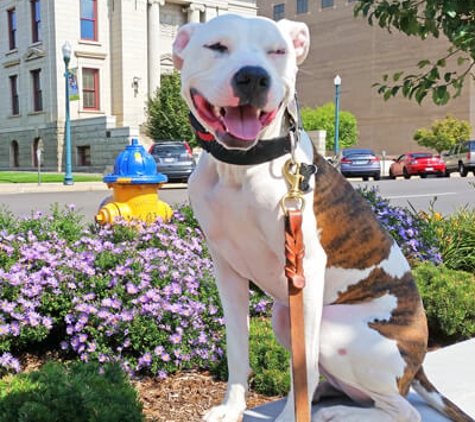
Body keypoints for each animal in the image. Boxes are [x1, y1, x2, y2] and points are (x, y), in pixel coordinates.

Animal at [173, 13, 474, 422]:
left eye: (278, 51)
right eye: (217, 46)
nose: (253, 77)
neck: (240, 166)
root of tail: (418, 364)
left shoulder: (307, 268)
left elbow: (303, 366)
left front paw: (290, 417)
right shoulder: (226, 268)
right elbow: (237, 349)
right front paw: (232, 408)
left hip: (335, 330)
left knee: (401, 410)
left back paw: (339, 413)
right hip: (284, 313)